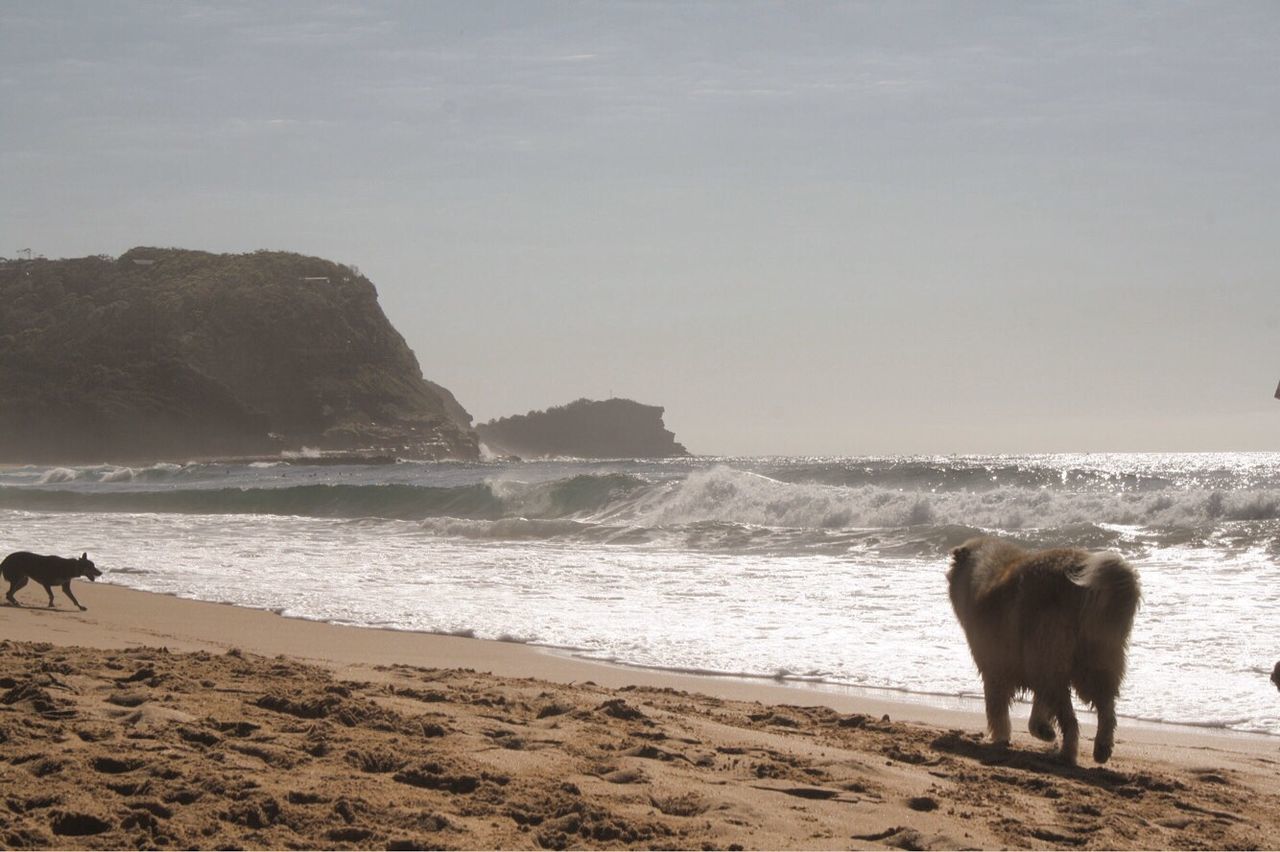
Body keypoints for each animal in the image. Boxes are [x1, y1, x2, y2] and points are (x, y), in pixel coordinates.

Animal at [947, 532, 1146, 762]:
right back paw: (1101, 749)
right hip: (1096, 659)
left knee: (1071, 720)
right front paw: (1043, 729)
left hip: (1054, 658)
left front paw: (1002, 738)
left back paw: (1067, 754)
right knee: (1105, 710)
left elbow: (997, 709)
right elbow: (1038, 706)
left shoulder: (996, 668)